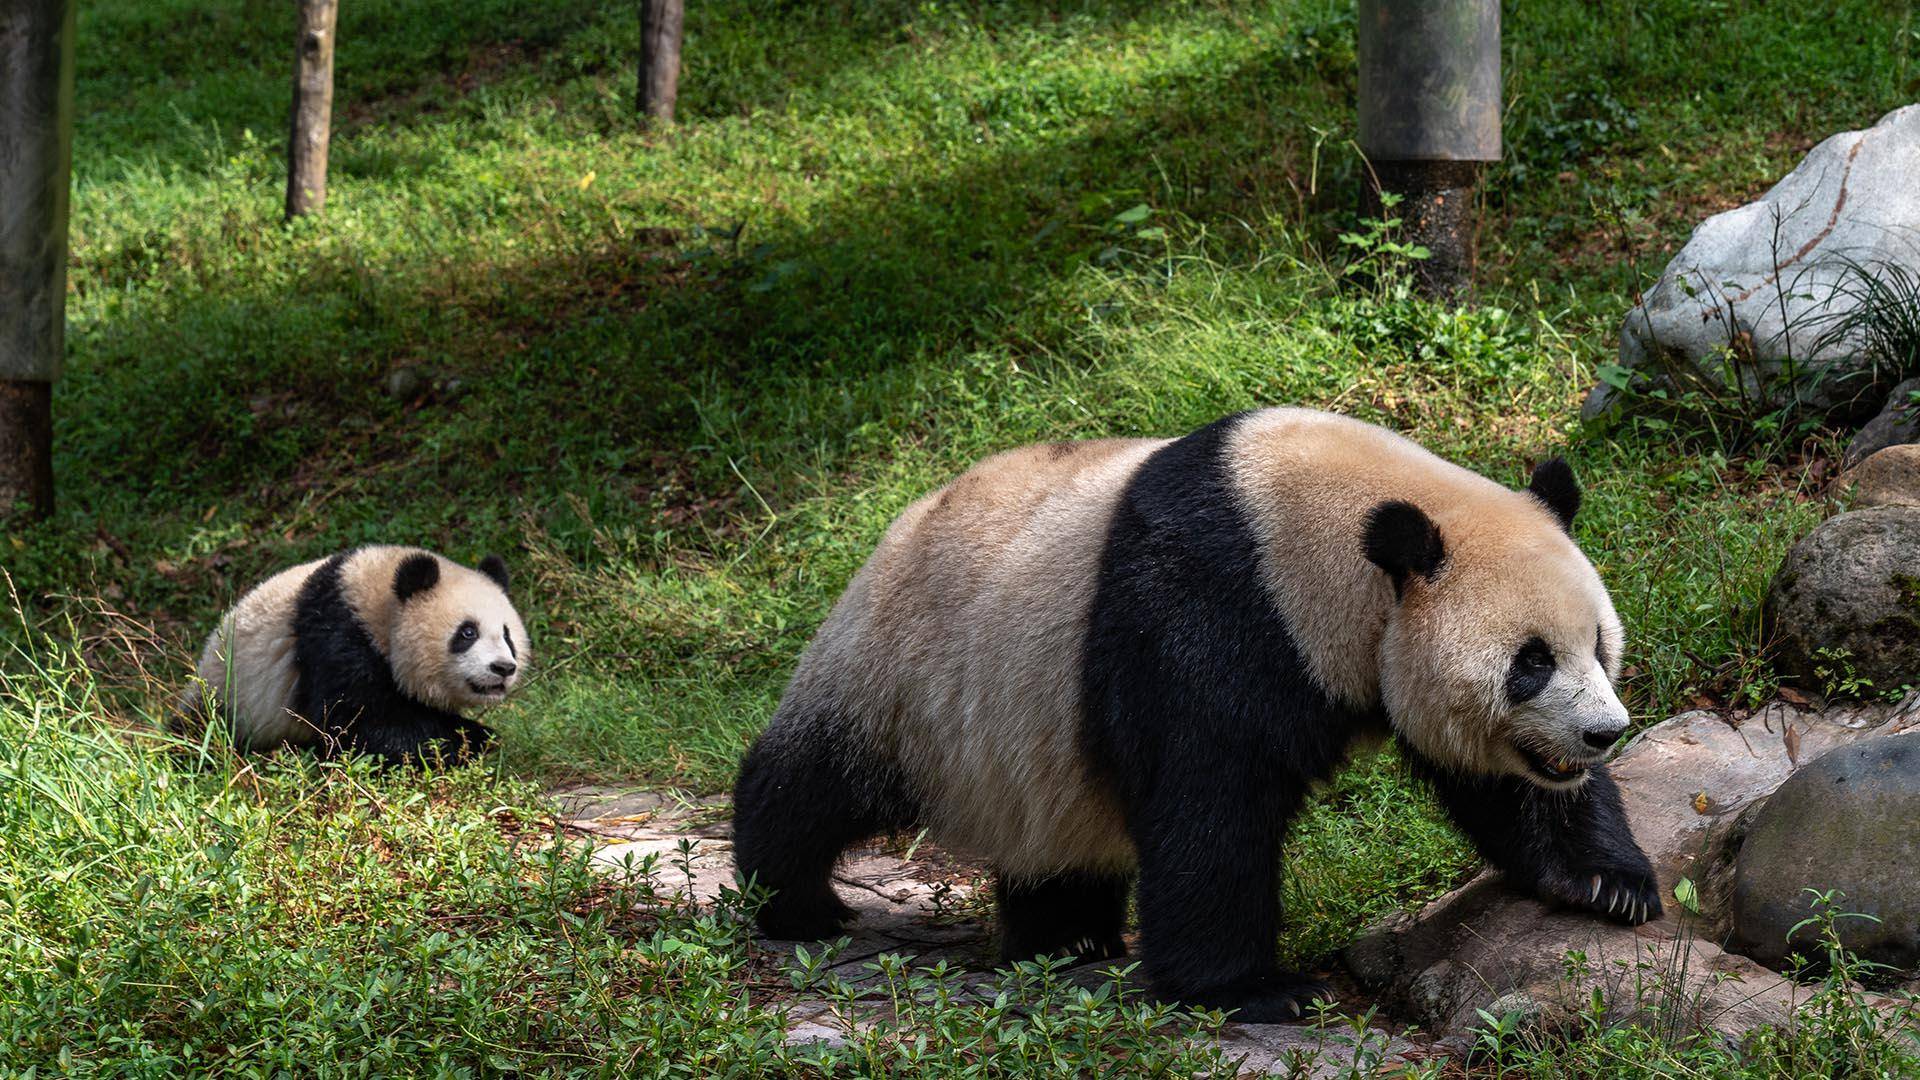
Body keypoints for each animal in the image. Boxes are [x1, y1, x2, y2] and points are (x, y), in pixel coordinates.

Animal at [182, 545, 529, 766]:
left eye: (507, 635)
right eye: (467, 633)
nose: (503, 667)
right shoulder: (335, 637)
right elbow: (363, 723)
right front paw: (474, 738)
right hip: (227, 697)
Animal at [733, 407, 1661, 1022]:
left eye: (1598, 644)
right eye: (1530, 662)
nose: (1602, 734)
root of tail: (898, 523)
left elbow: (1497, 781)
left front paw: (1608, 884)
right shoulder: (1212, 614)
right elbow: (1209, 804)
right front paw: (1257, 989)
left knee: (1055, 833)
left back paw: (1067, 941)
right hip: (907, 669)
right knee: (818, 780)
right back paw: (794, 903)